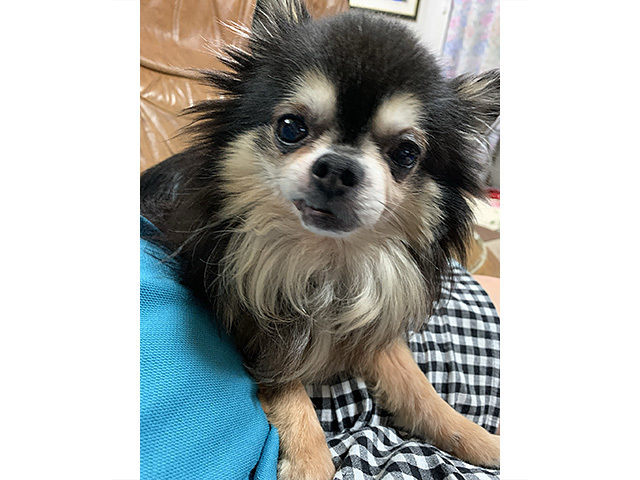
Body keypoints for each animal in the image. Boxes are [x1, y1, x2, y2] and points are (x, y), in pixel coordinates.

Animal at [140, 0, 500, 477]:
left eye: (406, 154)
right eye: (291, 127)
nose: (338, 168)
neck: (325, 263)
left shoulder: (372, 327)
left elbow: (420, 388)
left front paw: (479, 440)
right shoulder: (255, 326)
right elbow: (288, 389)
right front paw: (310, 461)